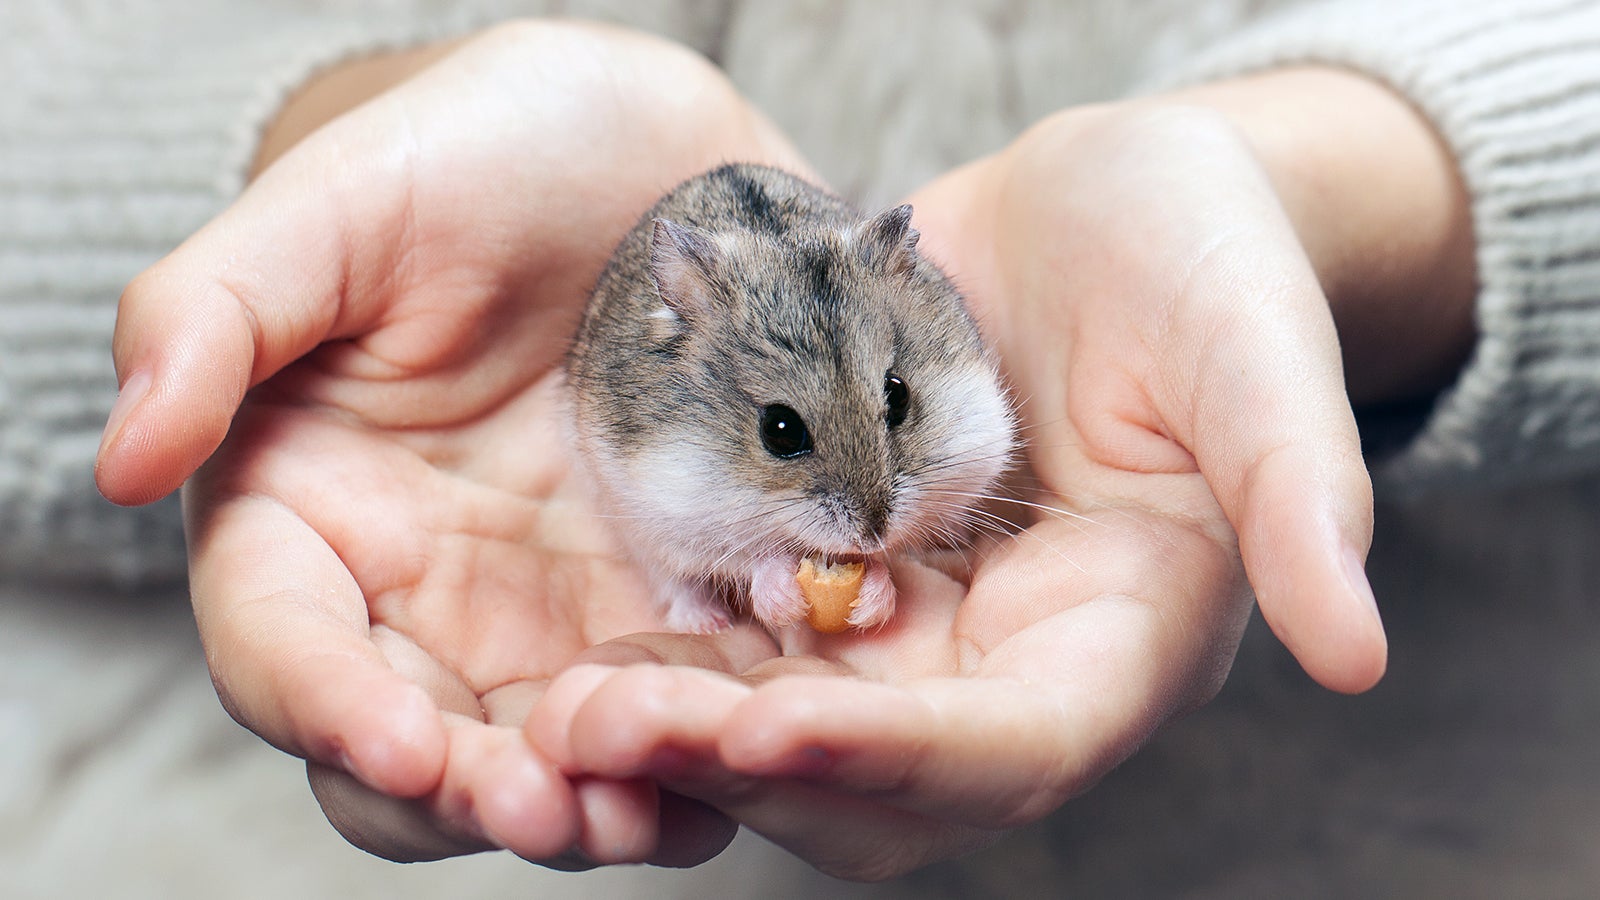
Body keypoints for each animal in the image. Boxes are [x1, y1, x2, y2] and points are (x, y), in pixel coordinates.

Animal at [566, 163, 1015, 633]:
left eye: (898, 394)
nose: (872, 535)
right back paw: (707, 622)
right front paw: (780, 595)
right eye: (780, 431)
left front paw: (873, 595)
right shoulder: (666, 513)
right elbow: (748, 560)